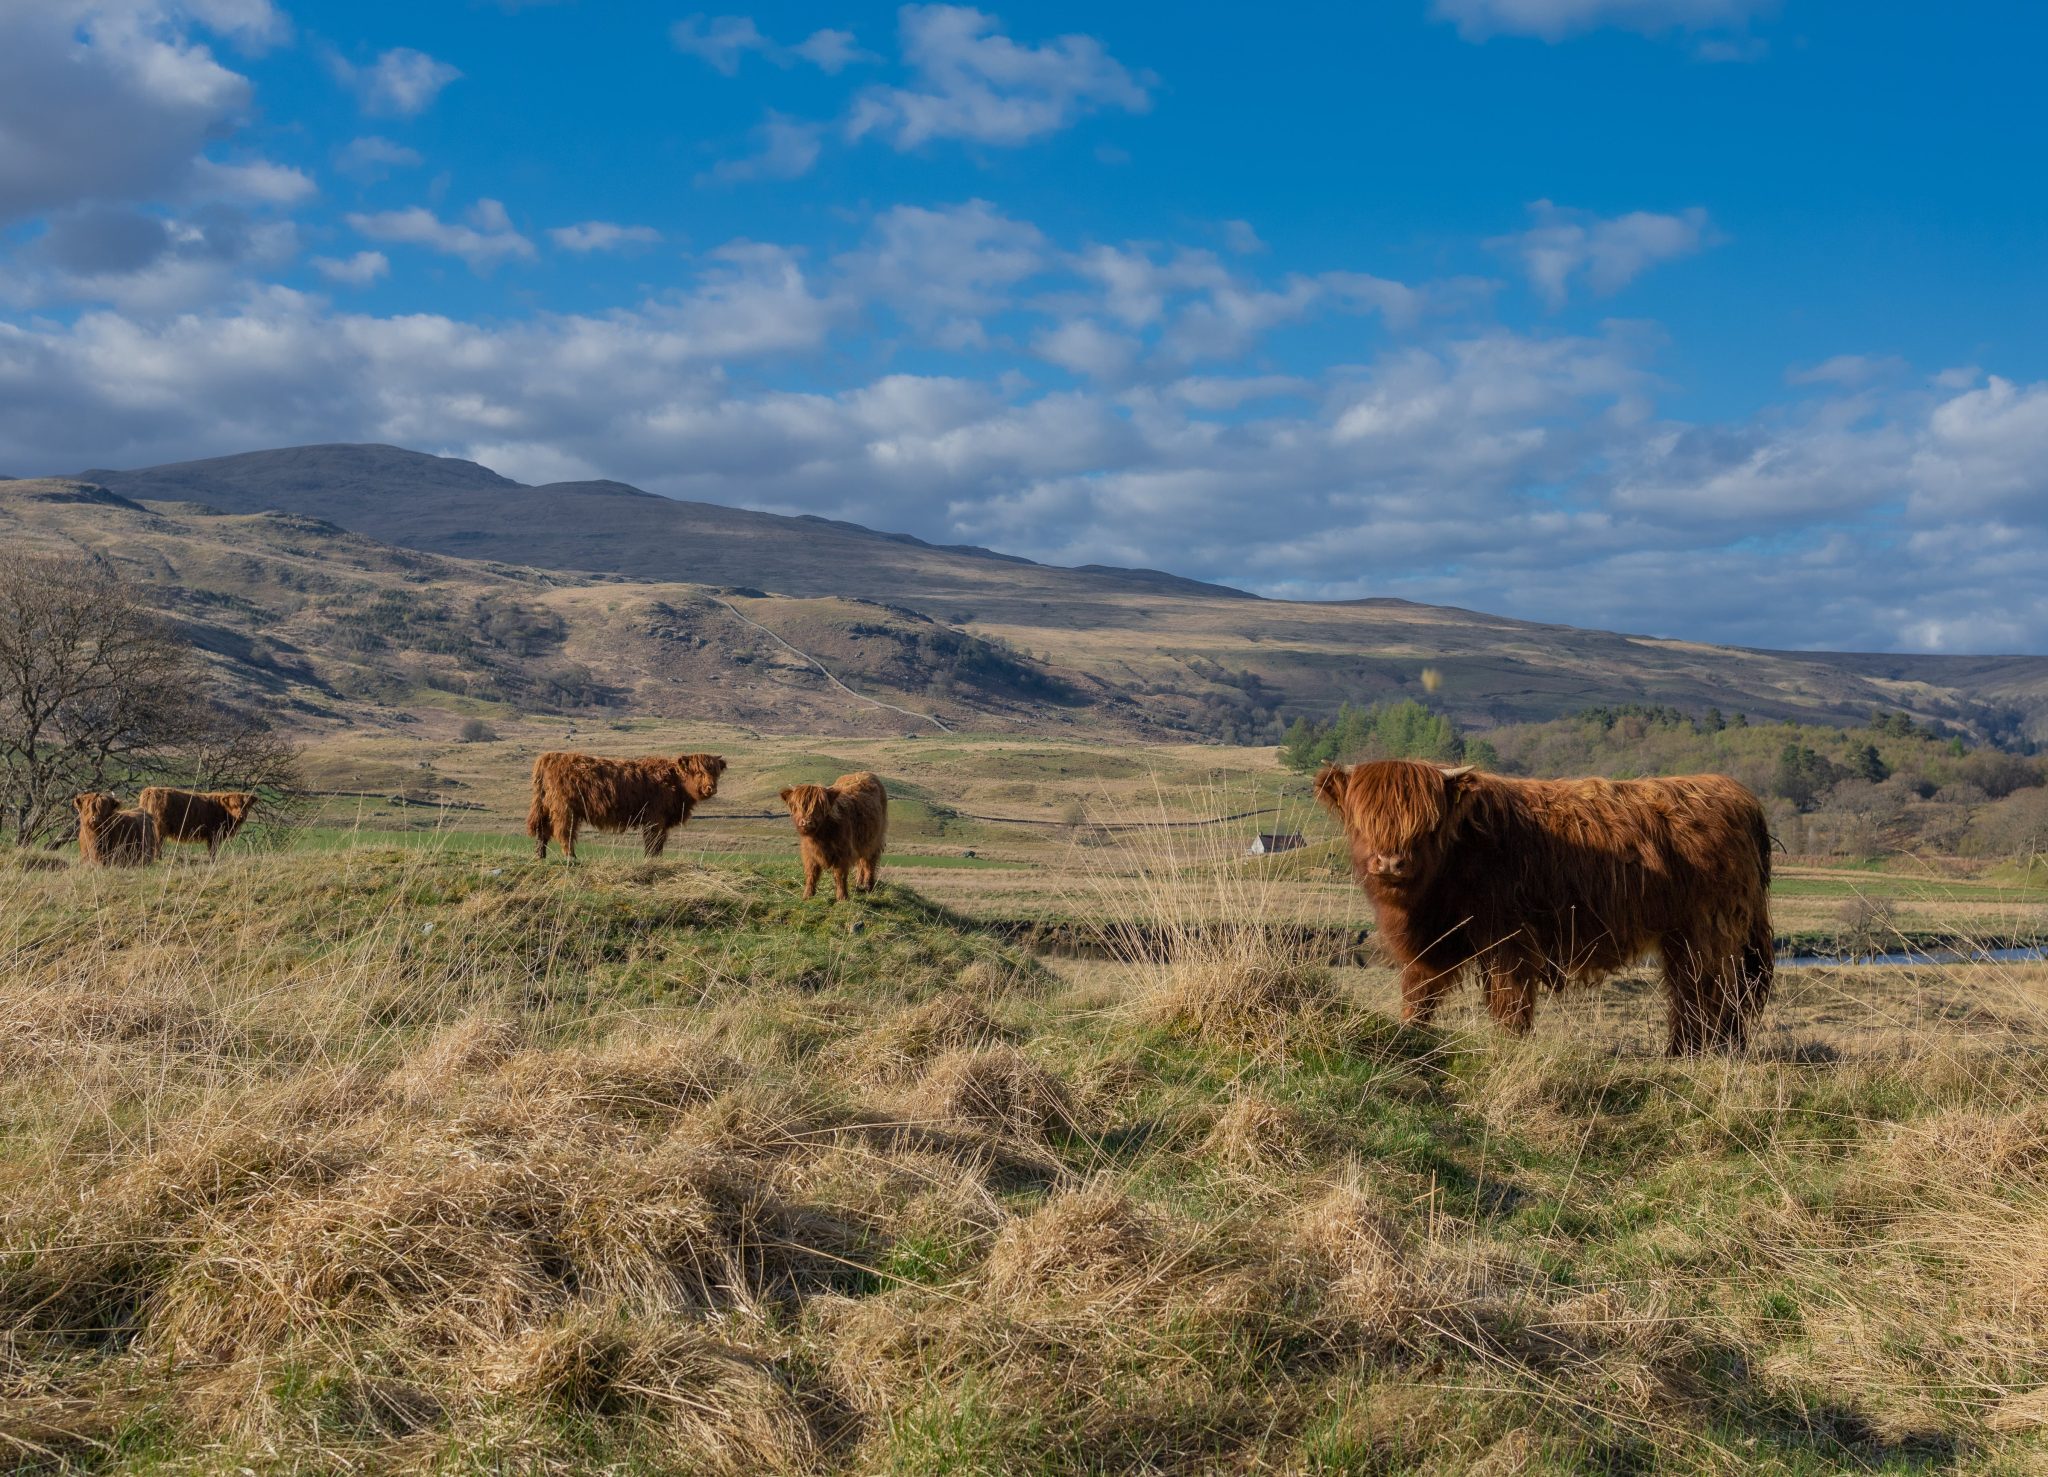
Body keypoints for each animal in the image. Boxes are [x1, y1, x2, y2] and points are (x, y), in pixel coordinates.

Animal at [524, 749, 724, 852]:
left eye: (715, 772)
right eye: (698, 772)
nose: (711, 788)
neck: (675, 782)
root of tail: (550, 756)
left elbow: (658, 844)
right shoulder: (654, 819)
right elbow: (653, 843)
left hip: (546, 807)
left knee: (542, 832)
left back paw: (540, 858)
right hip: (564, 809)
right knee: (565, 834)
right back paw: (571, 860)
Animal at [1310, 762, 1777, 1048]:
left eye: (1426, 824)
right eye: (1364, 821)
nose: (1391, 861)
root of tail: (1735, 794)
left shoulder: (1510, 939)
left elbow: (1509, 1000)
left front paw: (1509, 1044)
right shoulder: (1430, 945)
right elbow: (1419, 994)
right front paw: (1410, 1033)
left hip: (1705, 931)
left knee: (1704, 991)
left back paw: (1690, 1052)